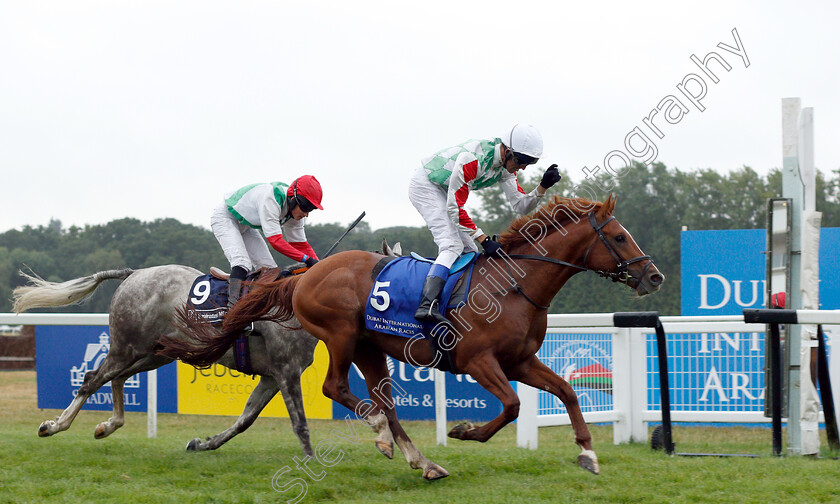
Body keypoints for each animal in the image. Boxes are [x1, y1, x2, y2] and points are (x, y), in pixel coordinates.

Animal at [14, 266, 320, 454]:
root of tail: (134, 273)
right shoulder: (286, 370)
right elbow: (300, 424)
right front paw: (310, 466)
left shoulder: (273, 376)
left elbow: (246, 419)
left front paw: (202, 443)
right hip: (126, 347)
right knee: (92, 379)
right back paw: (55, 426)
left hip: (157, 353)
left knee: (118, 378)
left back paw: (108, 425)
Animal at [164, 194, 664, 480]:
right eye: (620, 236)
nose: (654, 277)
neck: (512, 285)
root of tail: (305, 274)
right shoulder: (478, 361)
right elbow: (513, 406)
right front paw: (465, 431)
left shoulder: (519, 361)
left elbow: (567, 392)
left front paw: (588, 454)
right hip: (342, 335)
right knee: (336, 387)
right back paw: (383, 436)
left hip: (370, 347)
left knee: (384, 403)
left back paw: (421, 461)